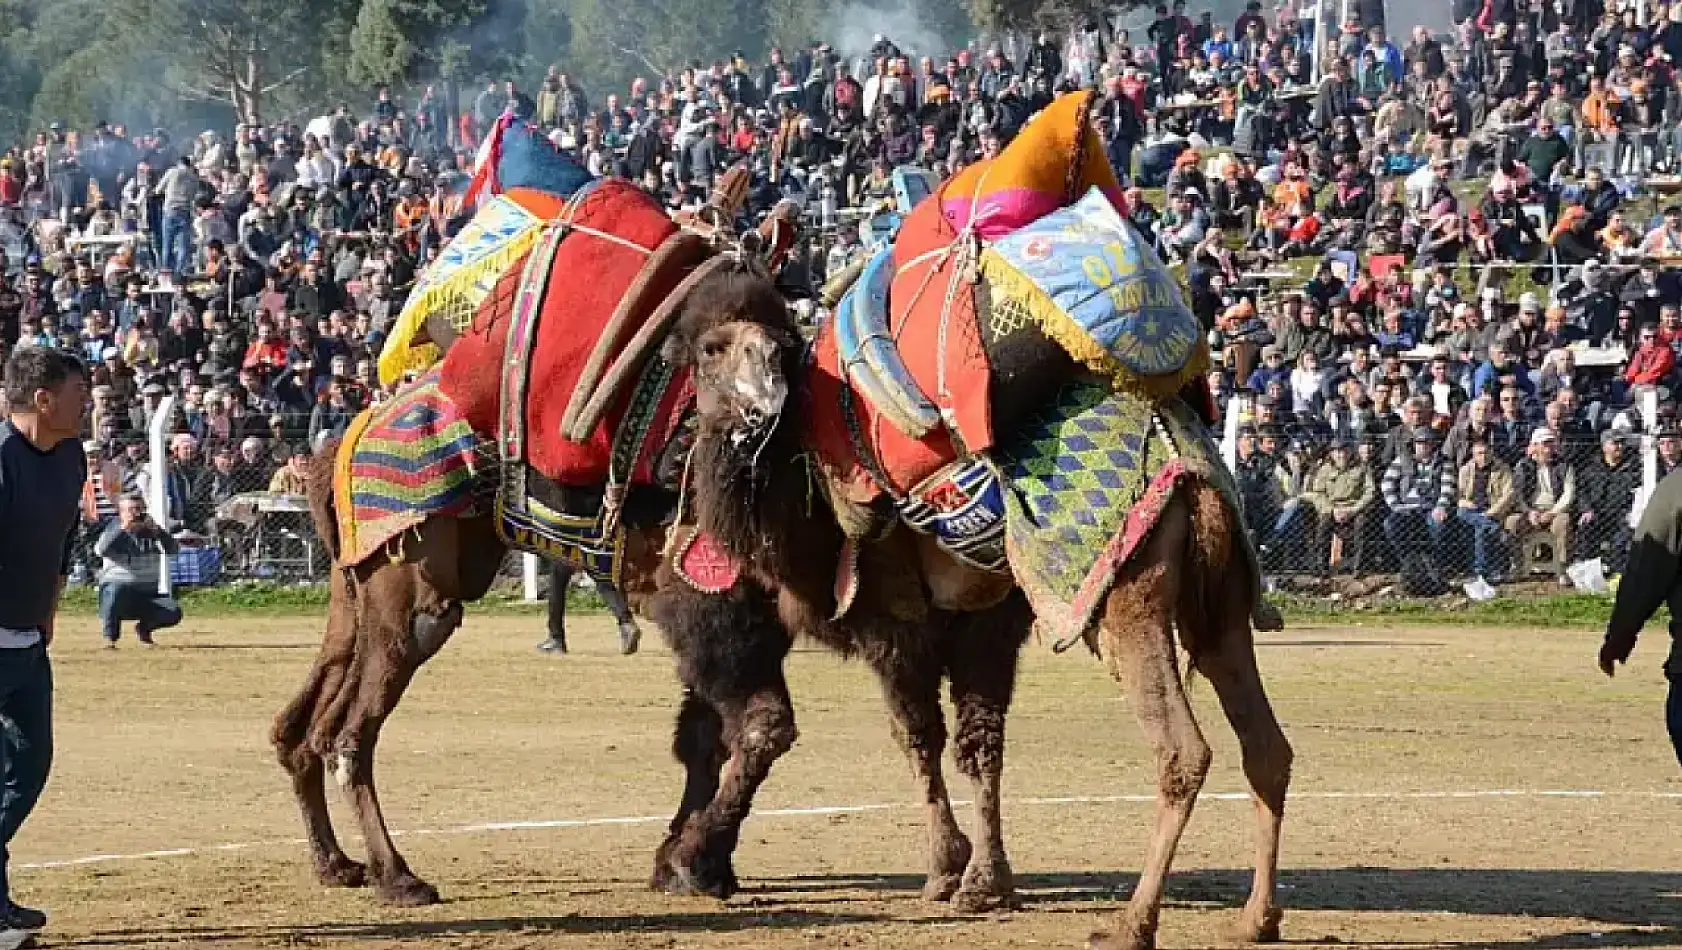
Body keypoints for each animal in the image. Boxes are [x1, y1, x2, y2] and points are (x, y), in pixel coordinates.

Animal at [649, 270, 1291, 941]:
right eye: (710, 350)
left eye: (776, 348)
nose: (765, 401)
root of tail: (1194, 479)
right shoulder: (986, 621)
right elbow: (980, 743)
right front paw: (986, 881)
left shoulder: (893, 618)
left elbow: (918, 737)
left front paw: (944, 871)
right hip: (1221, 599)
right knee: (1267, 746)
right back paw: (1256, 918)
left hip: (1126, 599)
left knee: (1182, 749)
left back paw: (1130, 924)